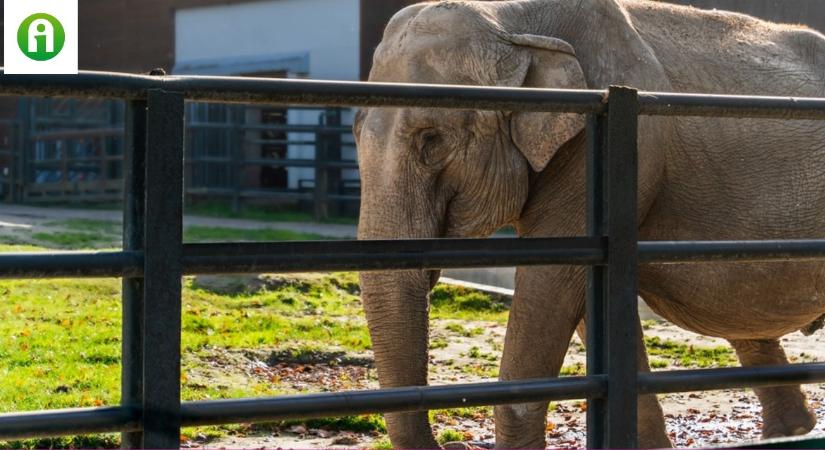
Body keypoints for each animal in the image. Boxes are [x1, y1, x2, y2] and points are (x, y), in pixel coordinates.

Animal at [352, 1, 824, 448]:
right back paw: (791, 432)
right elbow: (587, 290)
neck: (512, 22)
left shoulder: (597, 157)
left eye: (431, 140)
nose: (456, 444)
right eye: (354, 134)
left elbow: (552, 285)